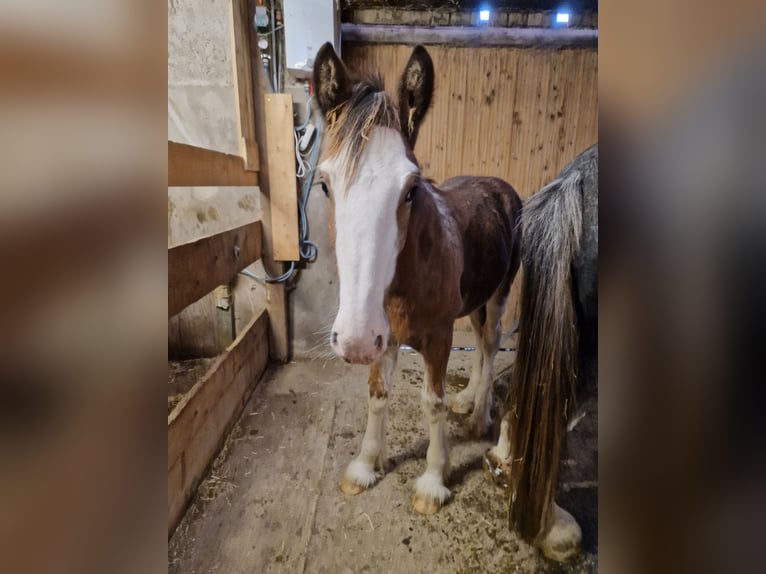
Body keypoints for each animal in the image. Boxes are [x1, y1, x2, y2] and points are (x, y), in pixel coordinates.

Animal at [312, 43, 522, 515]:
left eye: (411, 189)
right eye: (325, 185)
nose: (353, 339)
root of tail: (502, 188)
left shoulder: (438, 336)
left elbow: (433, 402)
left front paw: (433, 478)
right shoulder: (385, 336)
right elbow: (377, 393)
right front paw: (366, 465)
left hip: (499, 294)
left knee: (492, 341)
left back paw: (479, 417)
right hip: (475, 299)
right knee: (480, 340)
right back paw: (470, 399)